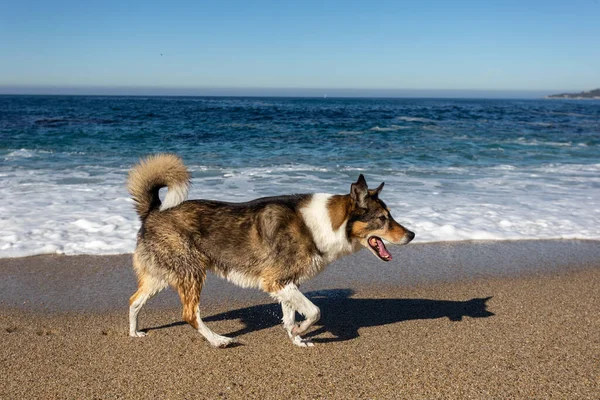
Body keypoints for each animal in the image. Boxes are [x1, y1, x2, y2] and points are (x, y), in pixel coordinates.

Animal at [129, 153, 414, 346]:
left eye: (390, 216)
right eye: (383, 219)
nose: (412, 235)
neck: (322, 224)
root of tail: (153, 211)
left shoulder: (287, 284)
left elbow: (291, 315)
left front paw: (296, 338)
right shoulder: (276, 281)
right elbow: (314, 311)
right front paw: (299, 331)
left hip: (161, 277)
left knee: (134, 302)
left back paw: (134, 332)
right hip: (191, 273)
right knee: (190, 314)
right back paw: (218, 340)